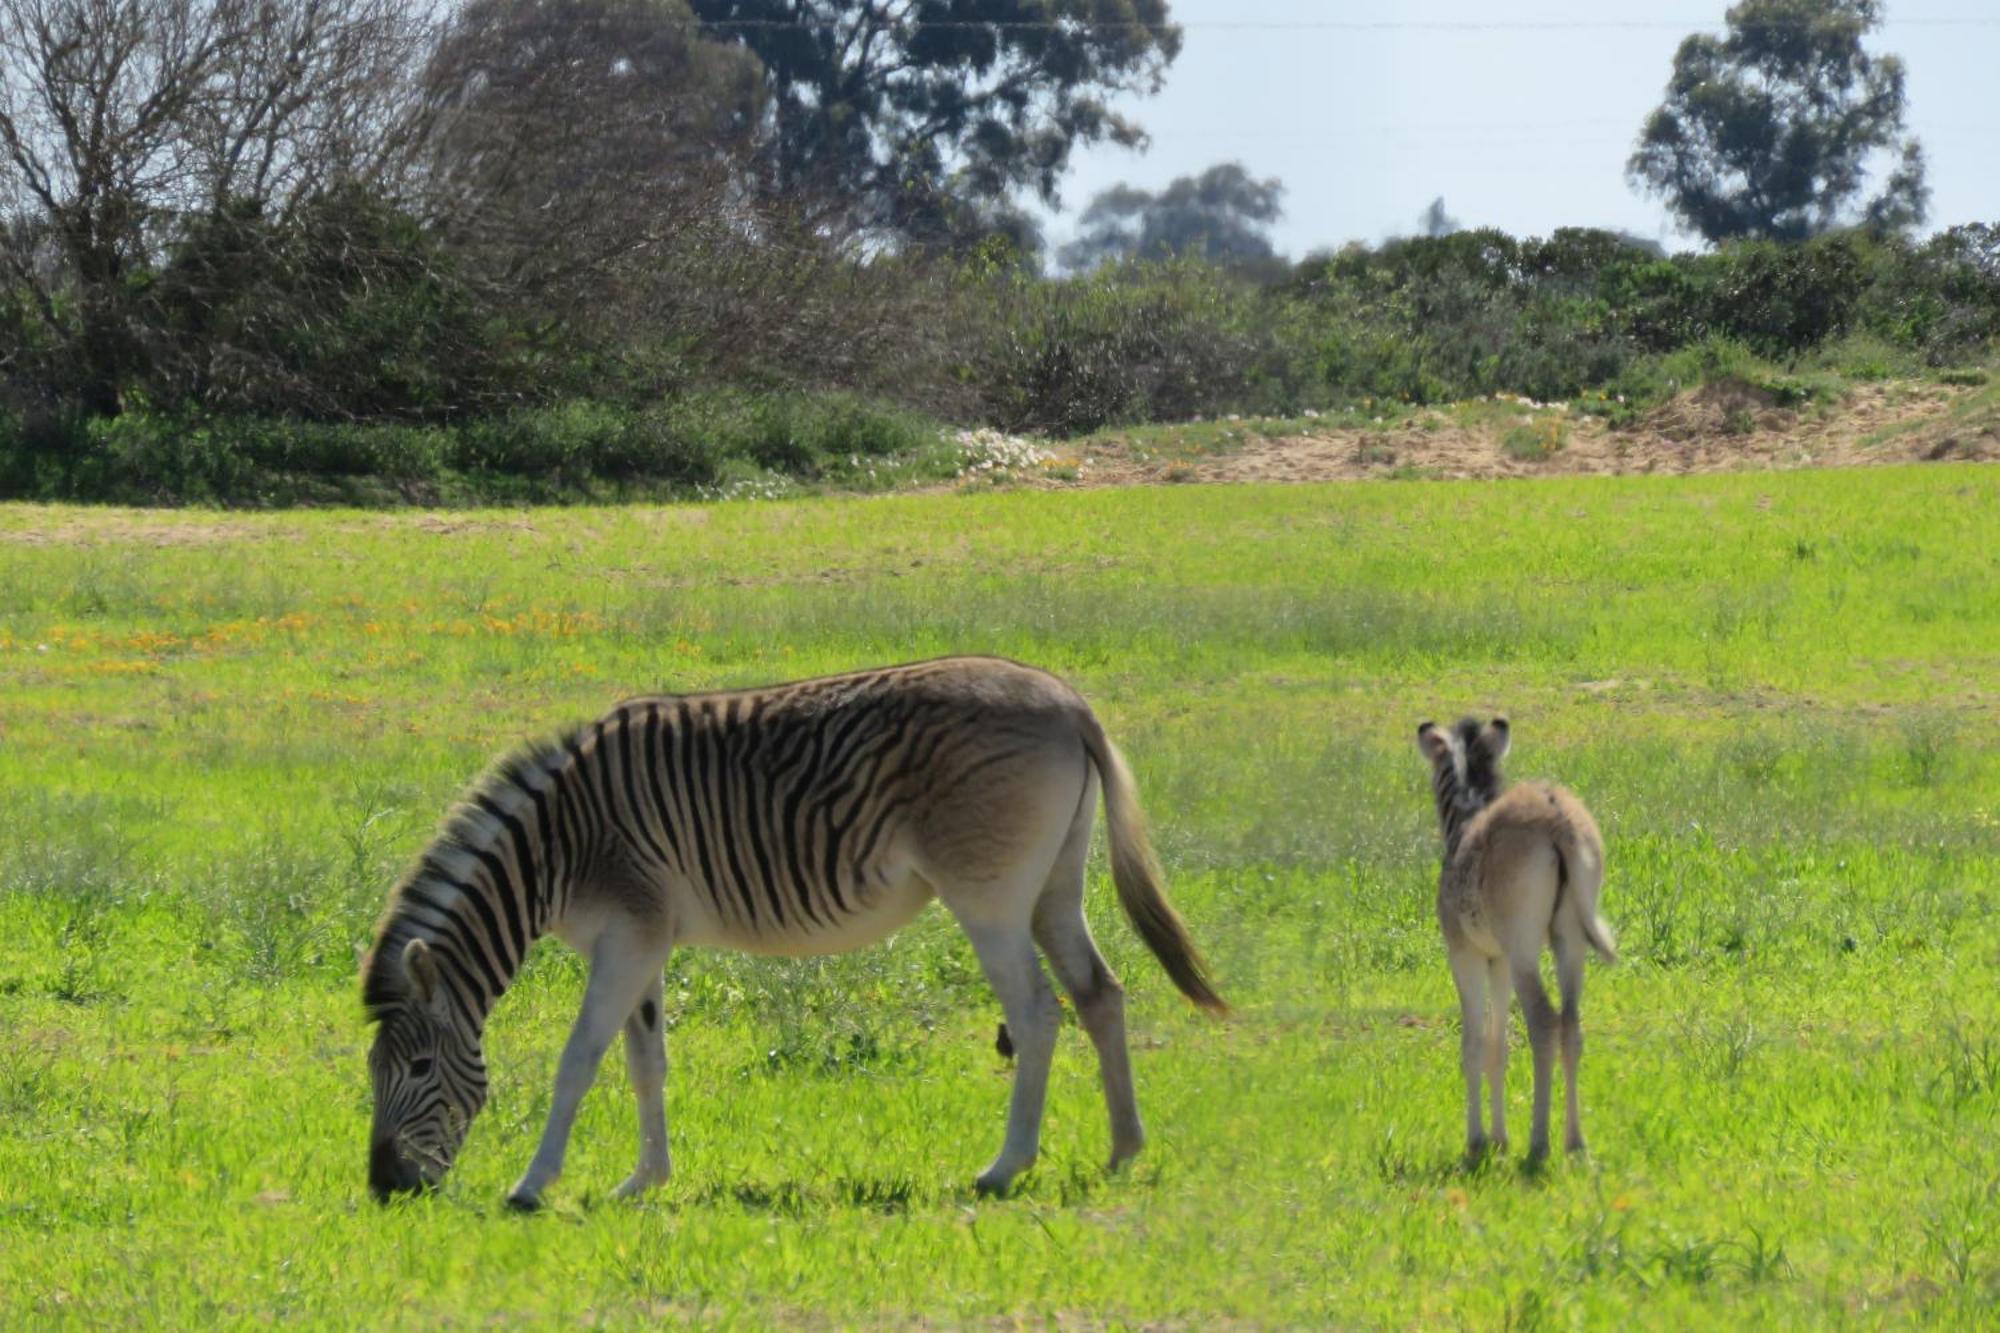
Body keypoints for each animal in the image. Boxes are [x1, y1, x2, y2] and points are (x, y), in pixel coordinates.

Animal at [366, 652, 1224, 1200]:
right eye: (372, 1071)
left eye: (417, 1069)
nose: (384, 1187)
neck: (557, 848)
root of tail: (1068, 701)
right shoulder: (645, 940)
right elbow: (646, 1062)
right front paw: (643, 1181)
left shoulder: (628, 933)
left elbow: (579, 1058)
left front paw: (533, 1183)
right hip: (1053, 886)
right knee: (1100, 993)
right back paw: (1122, 1149)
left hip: (990, 900)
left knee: (1040, 1012)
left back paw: (1004, 1167)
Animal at [1416, 716, 1616, 1160]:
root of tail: (1558, 819)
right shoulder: (1500, 959)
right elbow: (1499, 1046)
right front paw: (1500, 1139)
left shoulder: (1466, 953)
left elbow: (1474, 1044)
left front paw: (1477, 1142)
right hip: (1569, 940)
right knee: (1571, 1024)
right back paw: (1575, 1143)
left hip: (1526, 948)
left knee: (1543, 1020)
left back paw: (1540, 1144)